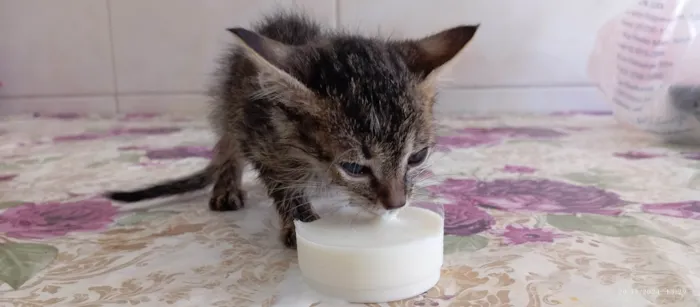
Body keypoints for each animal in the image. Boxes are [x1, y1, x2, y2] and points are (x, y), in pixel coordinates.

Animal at [106, 11, 478, 250]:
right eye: (354, 168)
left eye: (417, 156)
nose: (396, 204)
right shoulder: (259, 137)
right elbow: (282, 184)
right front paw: (300, 223)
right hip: (231, 103)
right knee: (226, 142)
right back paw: (226, 184)